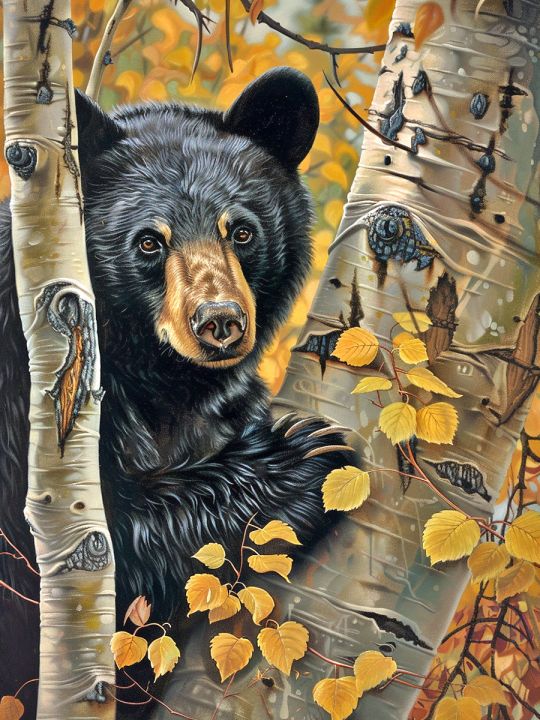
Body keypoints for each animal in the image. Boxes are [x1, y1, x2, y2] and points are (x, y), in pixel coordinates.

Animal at [0, 67, 354, 715]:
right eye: (148, 241)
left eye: (241, 230)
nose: (220, 321)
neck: (153, 373)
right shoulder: (27, 396)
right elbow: (99, 540)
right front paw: (305, 459)